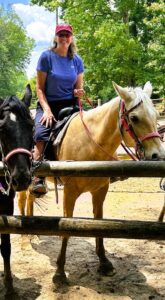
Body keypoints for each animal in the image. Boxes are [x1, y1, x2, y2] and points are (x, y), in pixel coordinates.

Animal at [17, 82, 165, 284]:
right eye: (134, 118)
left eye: (156, 115)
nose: (158, 155)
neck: (90, 143)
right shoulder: (70, 193)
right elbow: (66, 228)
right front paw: (60, 272)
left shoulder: (100, 191)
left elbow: (99, 224)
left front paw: (104, 262)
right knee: (22, 202)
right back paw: (25, 237)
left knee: (31, 199)